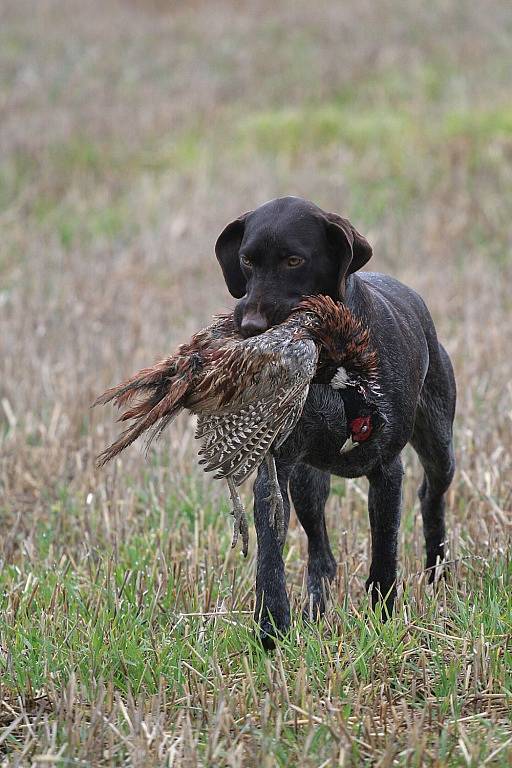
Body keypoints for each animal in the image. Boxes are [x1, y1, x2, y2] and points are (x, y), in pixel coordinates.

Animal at [214, 195, 454, 644]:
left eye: (294, 260)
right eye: (247, 260)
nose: (250, 326)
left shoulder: (386, 470)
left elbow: (384, 552)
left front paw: (383, 619)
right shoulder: (277, 471)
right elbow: (270, 553)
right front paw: (271, 626)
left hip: (440, 445)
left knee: (432, 496)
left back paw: (437, 572)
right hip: (309, 482)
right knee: (321, 555)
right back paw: (315, 609)